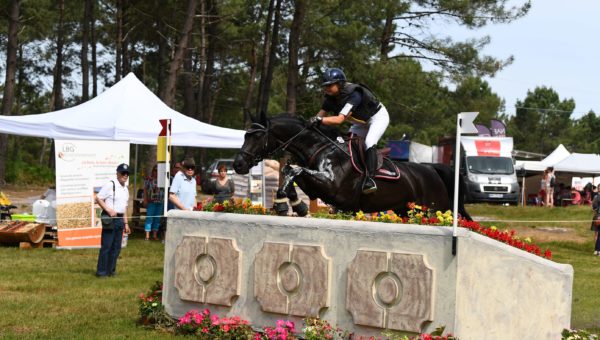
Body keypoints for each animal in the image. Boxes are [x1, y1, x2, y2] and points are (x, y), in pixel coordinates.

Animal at [232, 112, 472, 220]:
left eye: (257, 136)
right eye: (244, 135)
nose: (238, 164)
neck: (318, 147)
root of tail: (432, 169)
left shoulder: (332, 187)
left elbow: (294, 170)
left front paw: (283, 204)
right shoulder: (316, 187)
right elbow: (290, 171)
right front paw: (295, 205)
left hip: (434, 210)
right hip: (405, 210)